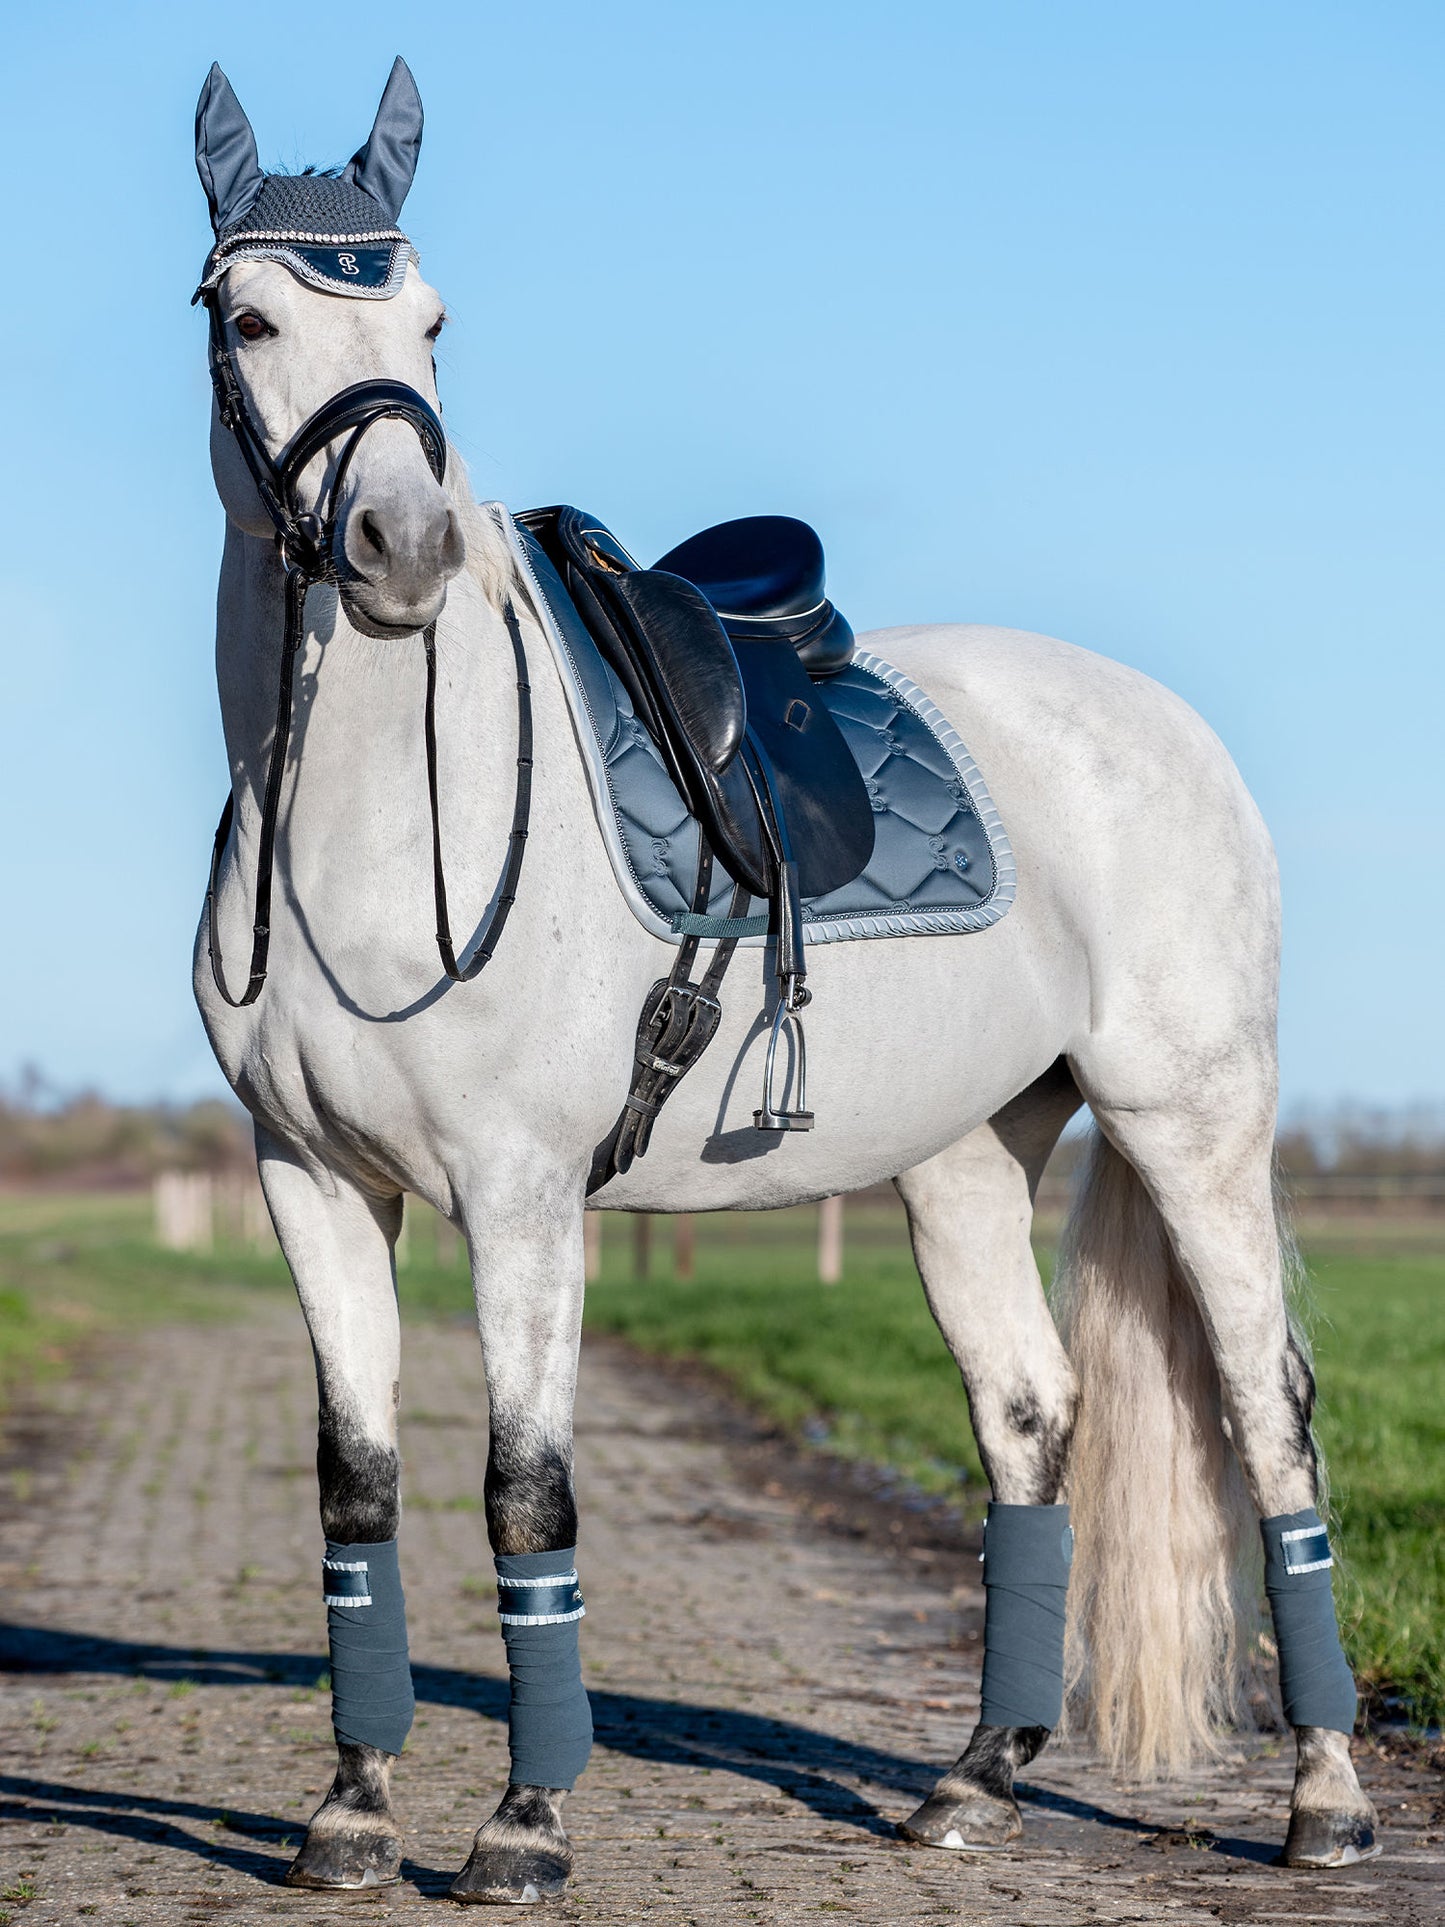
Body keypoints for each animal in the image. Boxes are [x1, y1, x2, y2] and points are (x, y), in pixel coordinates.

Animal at [189, 64, 1379, 1911]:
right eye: (246, 316)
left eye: (432, 322)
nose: (398, 548)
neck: (367, 825)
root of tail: (1163, 723)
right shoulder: (309, 1179)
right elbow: (359, 1491)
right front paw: (353, 1810)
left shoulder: (521, 1196)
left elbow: (524, 1495)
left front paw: (522, 1825)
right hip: (966, 1156)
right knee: (1030, 1417)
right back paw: (977, 1778)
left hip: (1191, 1118)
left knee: (1270, 1415)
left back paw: (1325, 1799)